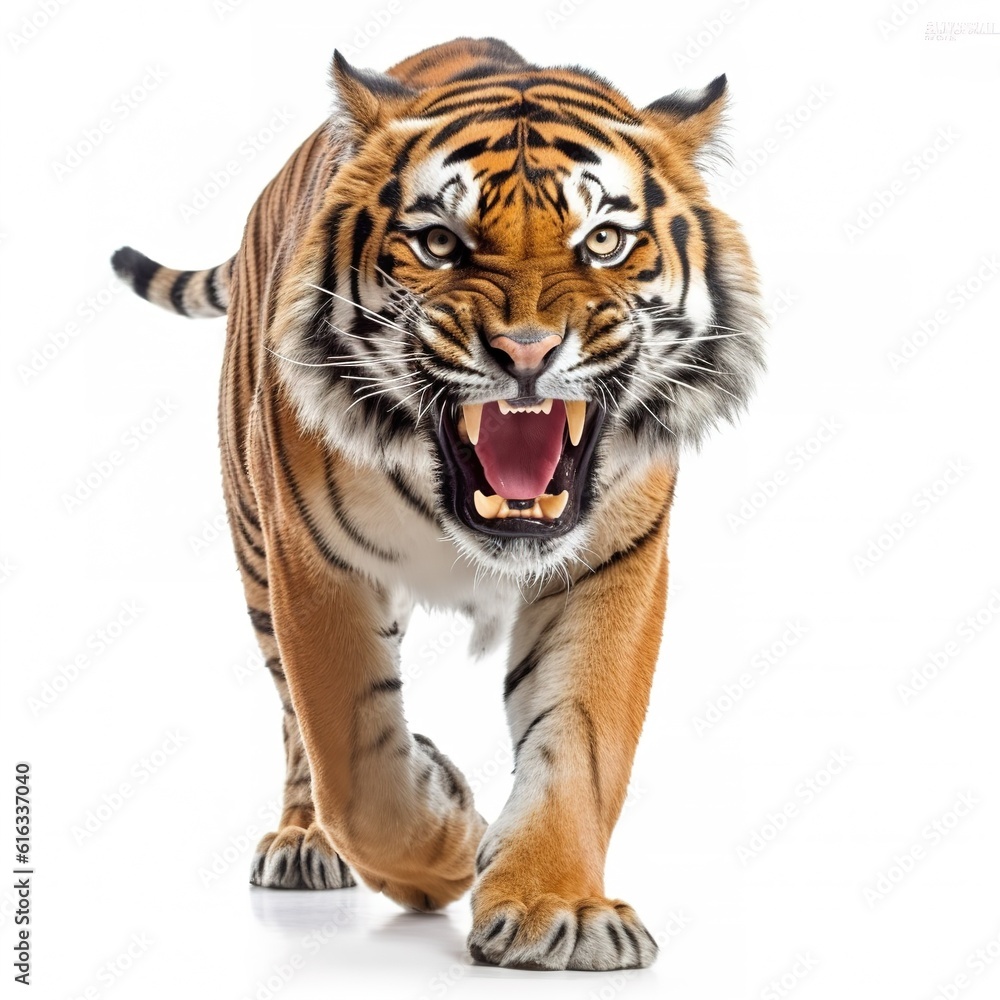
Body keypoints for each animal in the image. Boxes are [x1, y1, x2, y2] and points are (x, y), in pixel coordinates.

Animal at [111, 37, 764, 971]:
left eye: (603, 241)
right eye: (439, 242)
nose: (527, 352)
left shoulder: (613, 566)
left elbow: (581, 738)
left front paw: (557, 906)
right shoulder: (315, 566)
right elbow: (354, 761)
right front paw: (447, 841)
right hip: (256, 557)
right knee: (296, 729)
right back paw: (305, 841)